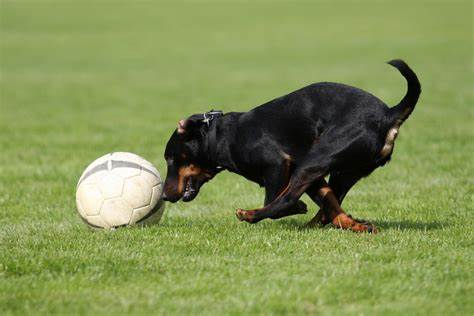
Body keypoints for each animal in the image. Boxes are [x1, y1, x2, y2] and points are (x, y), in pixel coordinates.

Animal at [161, 59, 420, 232]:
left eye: (171, 158)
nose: (163, 195)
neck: (221, 136)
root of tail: (388, 115)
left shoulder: (278, 163)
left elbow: (280, 199)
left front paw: (297, 207)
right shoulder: (314, 178)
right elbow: (329, 202)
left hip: (315, 160)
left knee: (284, 201)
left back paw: (250, 214)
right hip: (341, 171)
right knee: (332, 209)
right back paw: (354, 226)